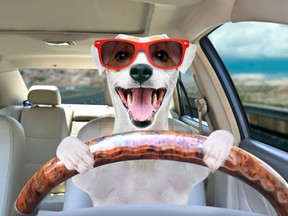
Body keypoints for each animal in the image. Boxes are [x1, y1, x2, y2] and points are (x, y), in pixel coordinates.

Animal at [56, 33, 234, 206]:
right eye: (121, 55)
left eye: (161, 55)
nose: (141, 70)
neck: (140, 139)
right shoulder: (93, 180)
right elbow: (66, 147)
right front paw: (73, 151)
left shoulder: (189, 172)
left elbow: (224, 135)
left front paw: (217, 145)